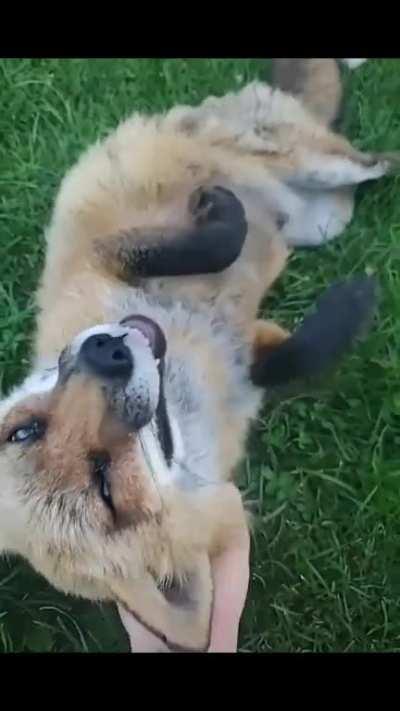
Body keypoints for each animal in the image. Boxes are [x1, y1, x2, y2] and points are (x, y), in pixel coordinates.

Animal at [0, 58, 395, 652]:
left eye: (25, 429)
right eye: (106, 487)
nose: (105, 352)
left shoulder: (105, 257)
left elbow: (211, 245)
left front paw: (223, 215)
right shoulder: (250, 355)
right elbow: (297, 357)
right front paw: (352, 303)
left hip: (320, 177)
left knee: (380, 159)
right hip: (327, 218)